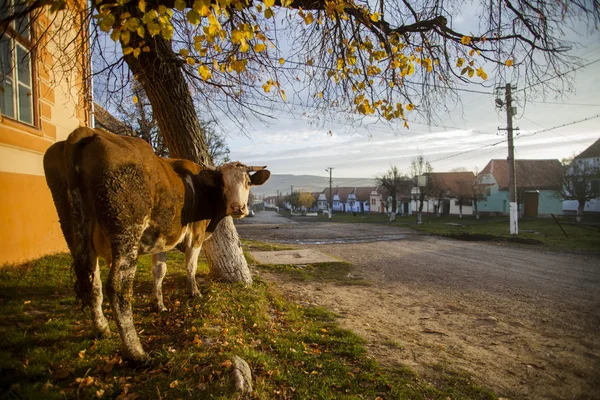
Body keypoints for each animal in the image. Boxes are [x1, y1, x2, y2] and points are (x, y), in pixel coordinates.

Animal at [45, 127, 270, 362]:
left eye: (247, 183)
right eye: (224, 184)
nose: (238, 208)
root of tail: (89, 131)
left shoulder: (160, 238)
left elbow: (159, 271)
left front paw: (158, 304)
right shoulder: (196, 232)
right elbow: (191, 266)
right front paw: (194, 292)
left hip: (73, 232)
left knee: (93, 283)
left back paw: (101, 329)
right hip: (126, 234)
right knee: (118, 288)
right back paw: (136, 352)